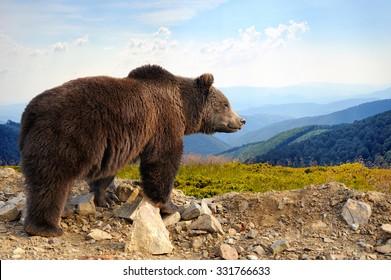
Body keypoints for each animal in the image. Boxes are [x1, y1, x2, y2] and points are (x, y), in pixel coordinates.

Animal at [19, 65, 245, 236]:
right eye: (226, 104)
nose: (241, 120)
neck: (184, 108)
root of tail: (31, 111)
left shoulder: (115, 144)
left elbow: (107, 171)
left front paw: (106, 198)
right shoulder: (163, 122)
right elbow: (162, 161)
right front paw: (170, 206)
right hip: (66, 135)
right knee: (52, 180)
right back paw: (46, 227)